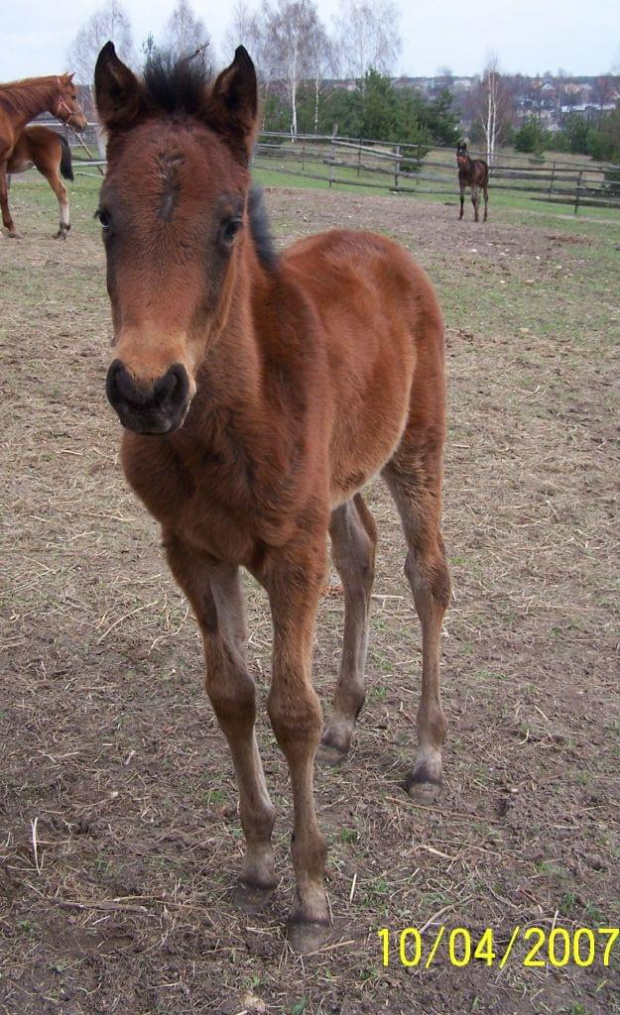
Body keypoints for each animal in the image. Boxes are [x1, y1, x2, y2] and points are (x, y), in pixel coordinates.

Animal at [0, 72, 85, 237]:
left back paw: (63, 229)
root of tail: (56, 135)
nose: (83, 124)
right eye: (73, 96)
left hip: (48, 170)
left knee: (61, 191)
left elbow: (3, 194)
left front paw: (11, 228)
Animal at [93, 41, 450, 950]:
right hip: (337, 484)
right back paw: (353, 718)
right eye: (106, 217)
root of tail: (381, 243)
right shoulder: (193, 550)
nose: (146, 391)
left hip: (416, 449)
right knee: (361, 557)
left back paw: (427, 753)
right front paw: (257, 856)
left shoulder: (291, 555)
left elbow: (291, 708)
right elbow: (232, 693)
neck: (229, 418)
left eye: (228, 224)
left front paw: (311, 886)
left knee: (426, 574)